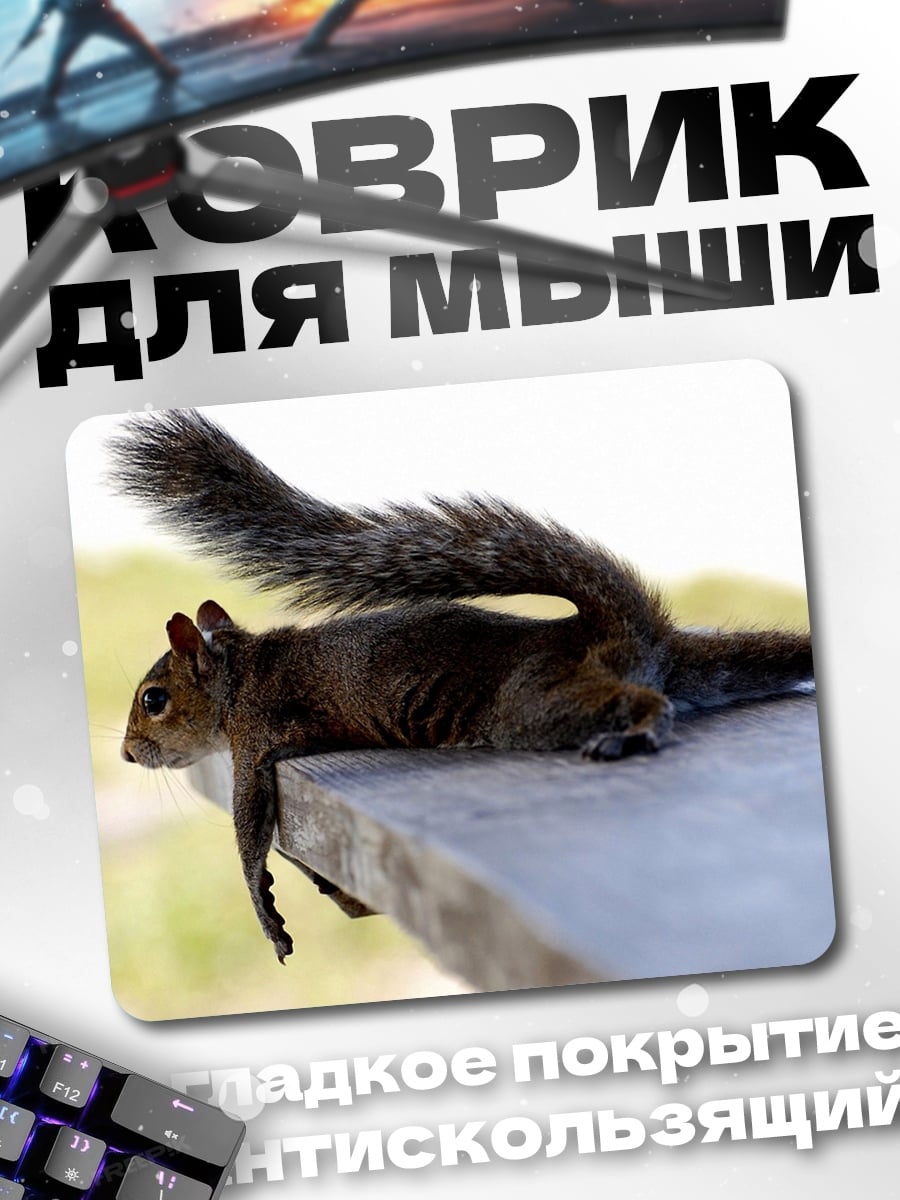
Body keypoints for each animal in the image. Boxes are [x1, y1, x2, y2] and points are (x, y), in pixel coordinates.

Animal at [110, 408, 814, 963]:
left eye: (153, 700)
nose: (126, 754)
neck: (239, 674)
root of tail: (622, 630)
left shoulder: (257, 735)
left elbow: (249, 828)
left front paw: (265, 908)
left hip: (531, 703)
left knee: (640, 700)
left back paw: (636, 728)